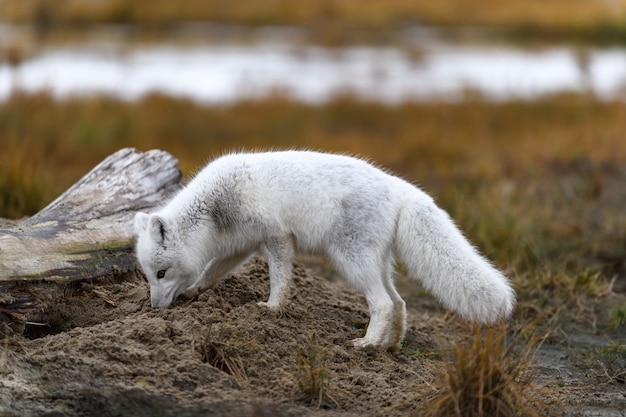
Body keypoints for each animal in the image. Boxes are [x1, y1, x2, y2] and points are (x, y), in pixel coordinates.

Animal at [134, 150, 516, 348]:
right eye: (150, 276)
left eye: (161, 273)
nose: (153, 309)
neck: (216, 208)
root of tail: (398, 186)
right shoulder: (241, 246)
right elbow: (212, 270)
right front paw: (196, 290)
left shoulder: (277, 237)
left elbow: (280, 279)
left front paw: (272, 308)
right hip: (375, 264)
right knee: (399, 302)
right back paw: (389, 345)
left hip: (351, 261)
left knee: (382, 303)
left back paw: (366, 344)